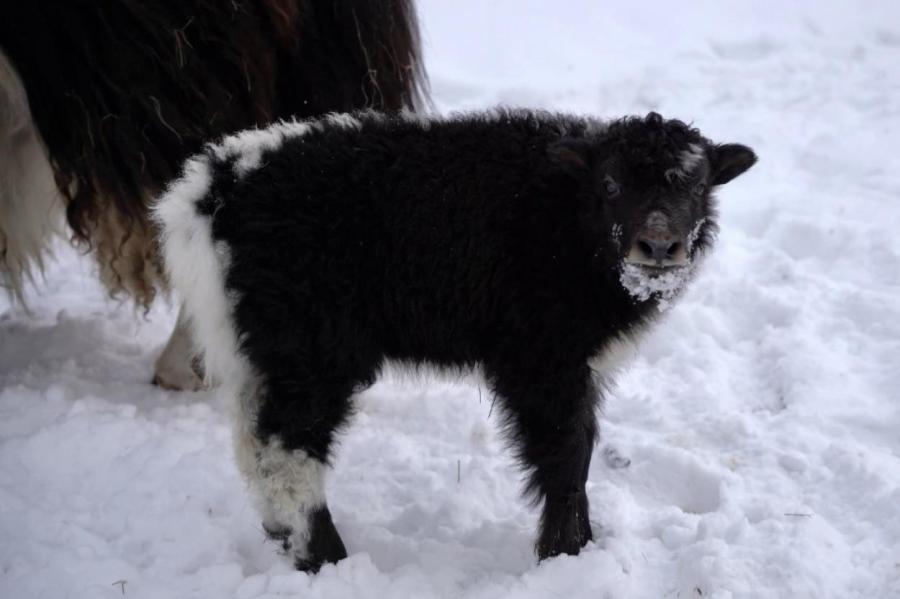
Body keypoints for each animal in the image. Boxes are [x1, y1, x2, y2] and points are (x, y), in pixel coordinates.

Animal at [155, 110, 760, 576]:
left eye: (698, 186)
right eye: (610, 186)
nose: (658, 246)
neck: (566, 221)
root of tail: (209, 192)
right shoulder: (541, 360)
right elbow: (567, 452)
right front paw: (567, 556)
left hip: (261, 350)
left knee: (256, 446)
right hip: (309, 348)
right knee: (288, 451)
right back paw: (328, 560)